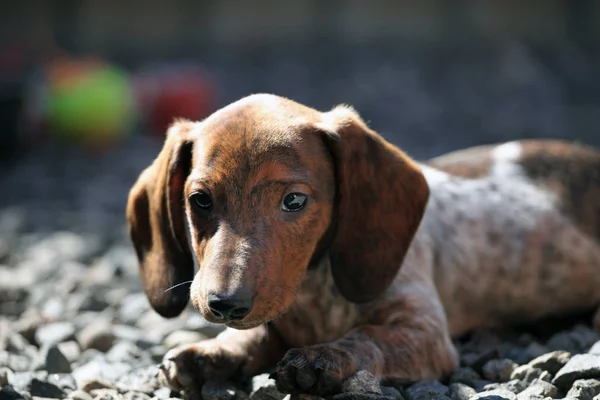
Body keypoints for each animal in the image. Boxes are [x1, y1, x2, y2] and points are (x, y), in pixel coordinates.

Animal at [126, 94, 600, 396]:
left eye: (294, 200)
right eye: (200, 200)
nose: (224, 305)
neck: (315, 295)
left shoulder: (423, 331)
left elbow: (366, 337)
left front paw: (323, 359)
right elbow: (250, 339)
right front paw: (209, 353)